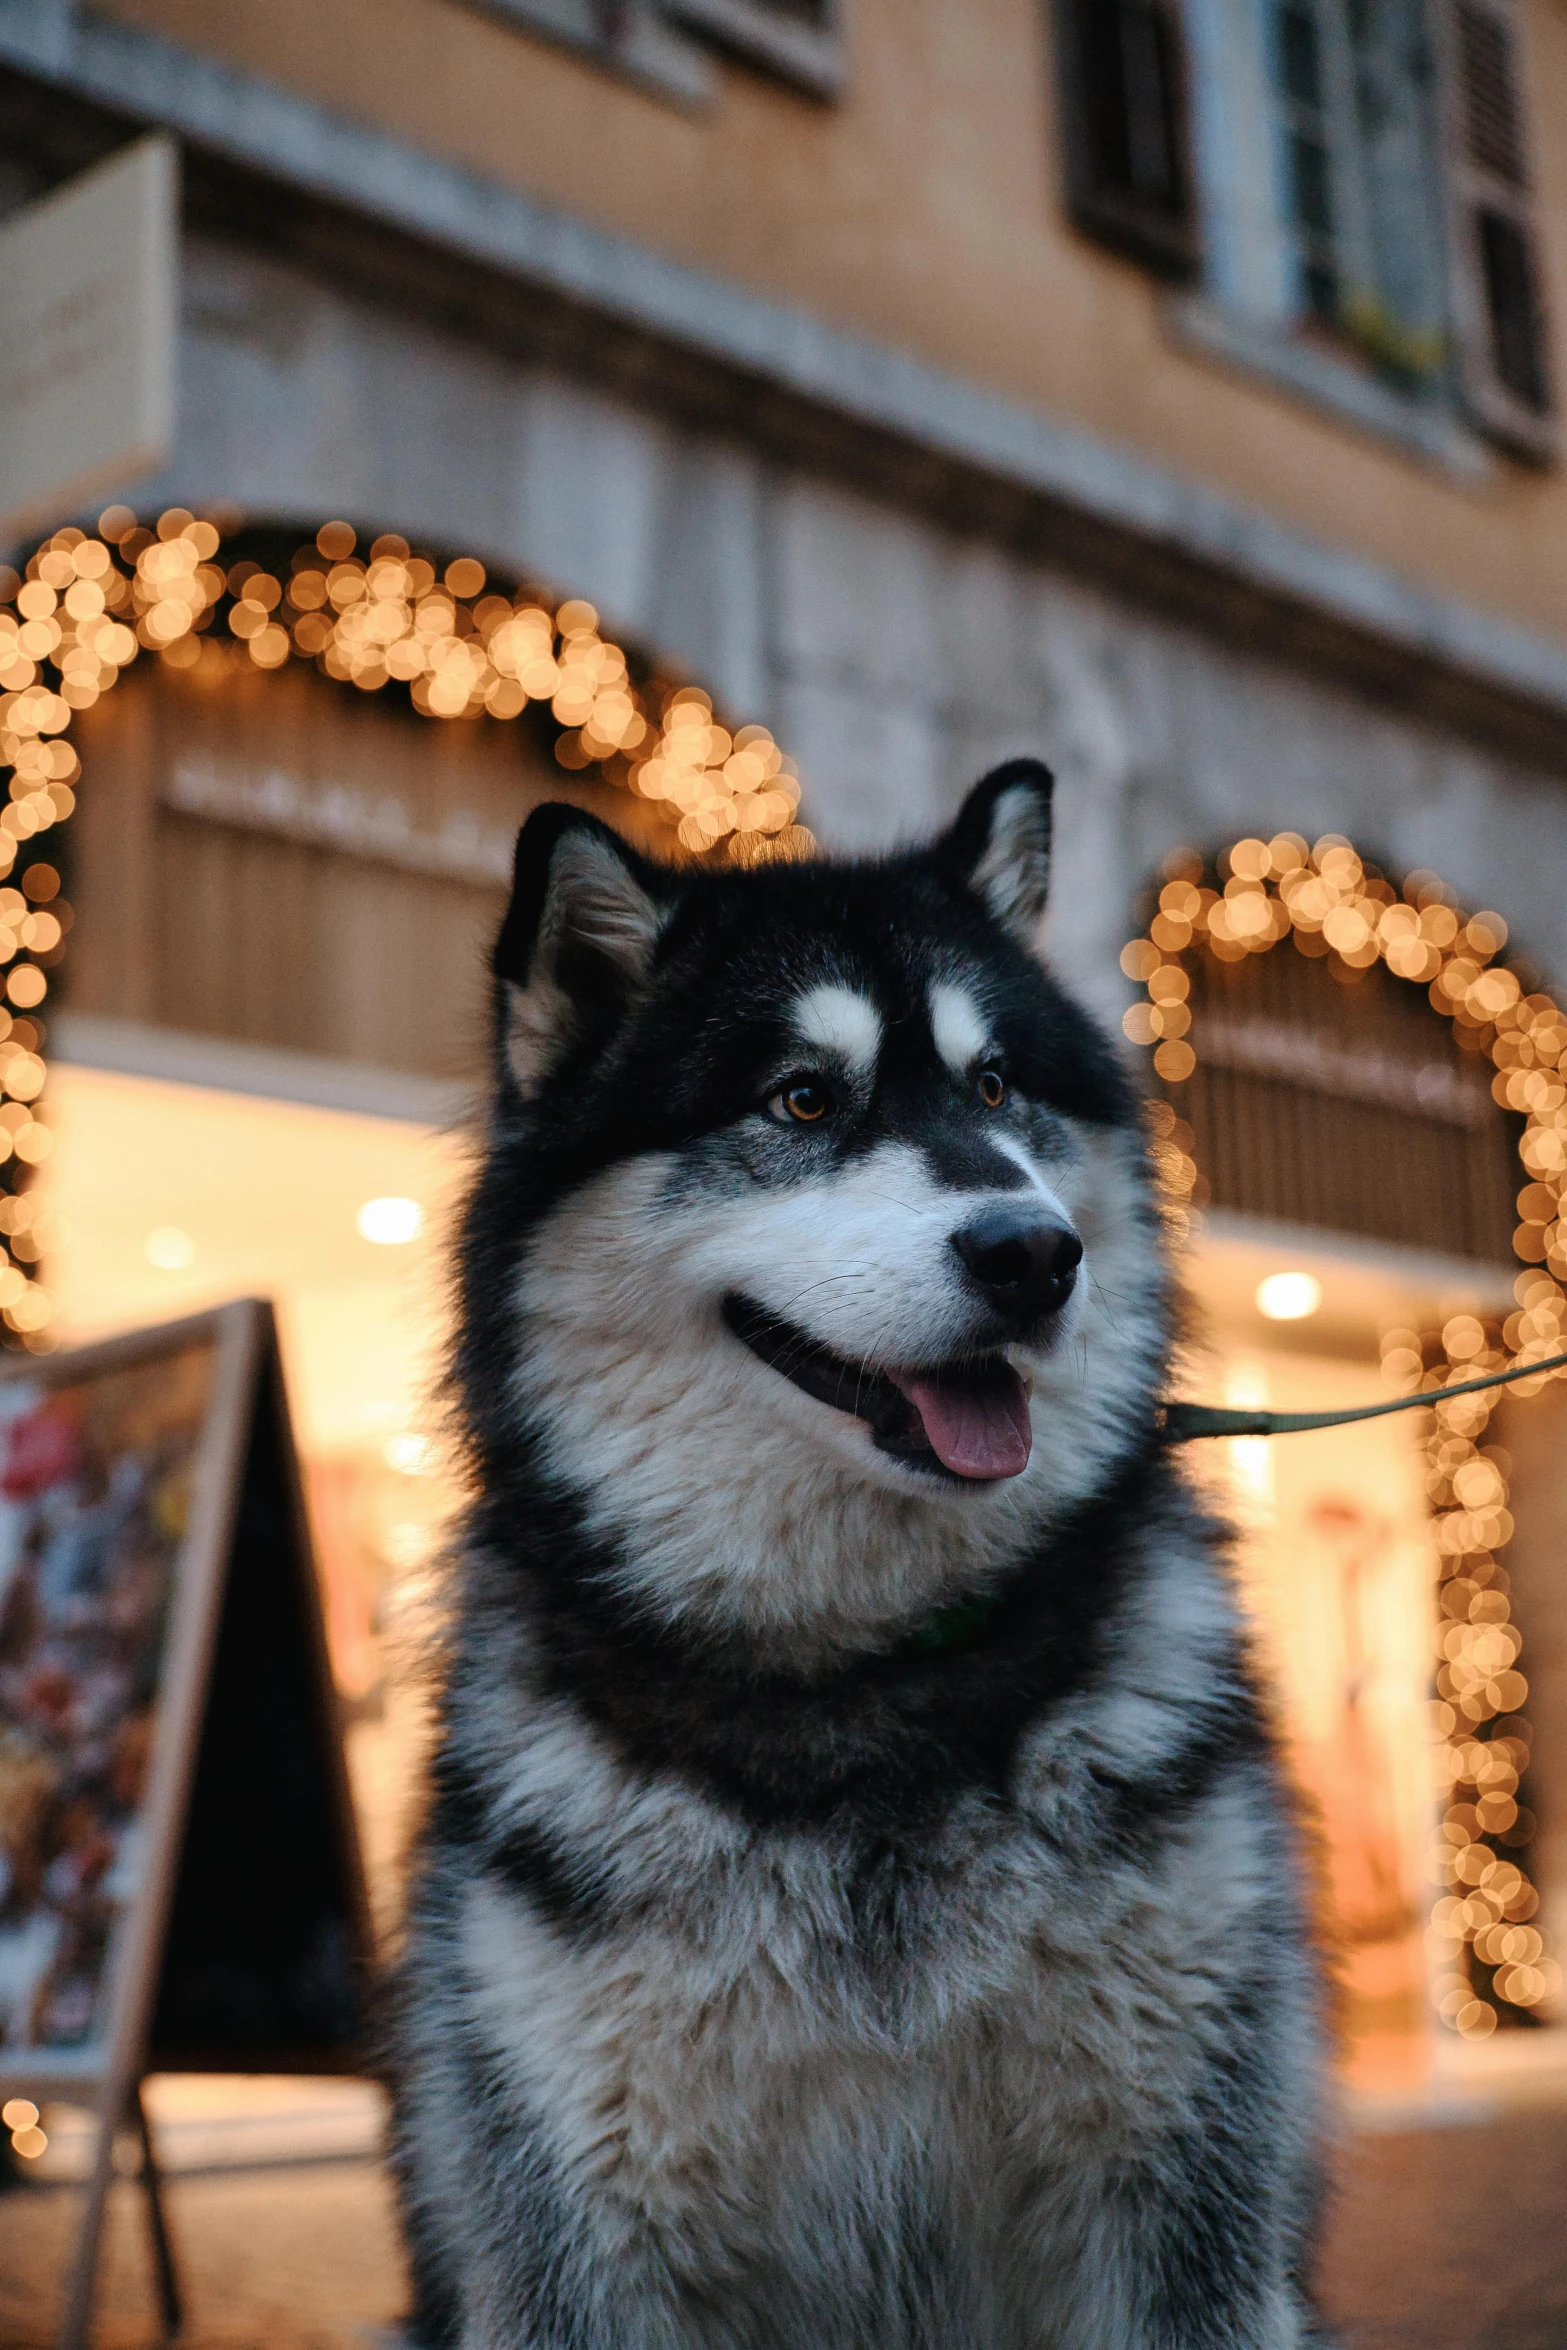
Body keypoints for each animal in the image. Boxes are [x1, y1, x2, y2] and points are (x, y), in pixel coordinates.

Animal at [389, 761, 1325, 2340]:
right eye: (801, 1096)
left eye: (995, 1085)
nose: (1034, 1253)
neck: (859, 1679)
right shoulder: (575, 2225)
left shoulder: (1182, 2188)